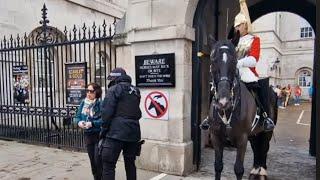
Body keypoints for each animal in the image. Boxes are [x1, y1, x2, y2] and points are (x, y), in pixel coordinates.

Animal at [202, 39, 278, 180]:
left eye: (235, 61)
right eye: (213, 60)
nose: (223, 101)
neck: (227, 112)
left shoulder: (242, 138)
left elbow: (238, 169)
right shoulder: (216, 137)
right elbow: (218, 166)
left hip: (266, 131)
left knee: (264, 147)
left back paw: (261, 171)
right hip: (254, 133)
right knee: (256, 147)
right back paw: (255, 170)